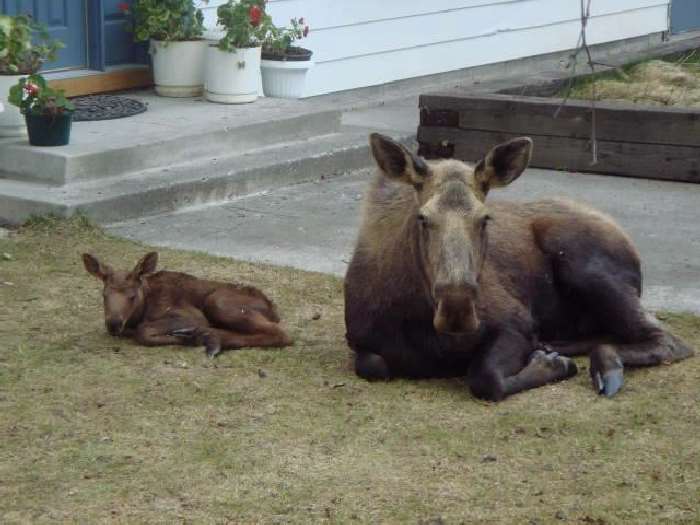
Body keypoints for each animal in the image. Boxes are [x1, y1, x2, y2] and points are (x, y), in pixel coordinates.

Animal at [83, 251, 292, 356]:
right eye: (104, 295)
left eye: (132, 296)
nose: (113, 323)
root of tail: (273, 310)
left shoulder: (192, 315)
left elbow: (143, 332)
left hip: (217, 302)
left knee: (282, 334)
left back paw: (204, 336)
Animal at [342, 133, 692, 400]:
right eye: (422, 218)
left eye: (485, 218)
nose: (457, 308)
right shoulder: (361, 342)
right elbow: (373, 365)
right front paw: (548, 358)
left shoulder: (516, 322)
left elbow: (486, 379)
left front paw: (553, 365)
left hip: (583, 265)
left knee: (669, 339)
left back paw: (602, 366)